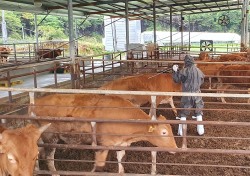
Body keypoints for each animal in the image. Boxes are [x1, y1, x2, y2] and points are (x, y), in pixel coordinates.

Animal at [28, 93, 178, 175]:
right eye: (164, 132)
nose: (175, 149)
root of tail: (34, 103)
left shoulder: (120, 144)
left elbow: (120, 160)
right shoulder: (103, 145)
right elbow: (99, 166)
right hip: (51, 137)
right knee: (49, 158)